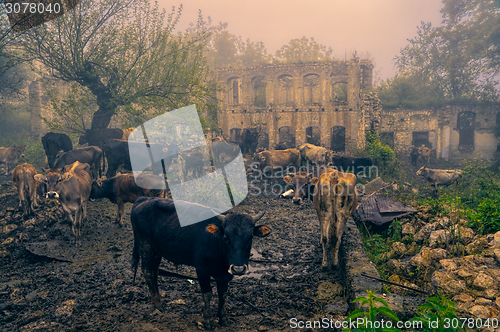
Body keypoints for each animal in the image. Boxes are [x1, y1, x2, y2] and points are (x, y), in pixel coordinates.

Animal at [129, 197, 270, 330]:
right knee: (147, 272)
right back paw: (157, 304)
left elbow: (223, 294)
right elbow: (207, 294)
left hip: (157, 252)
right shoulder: (202, 269)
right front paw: (208, 321)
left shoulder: (225, 275)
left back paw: (158, 299)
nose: (238, 269)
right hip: (145, 247)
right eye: (226, 237)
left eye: (250, 237)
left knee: (154, 273)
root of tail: (143, 200)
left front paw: (223, 318)